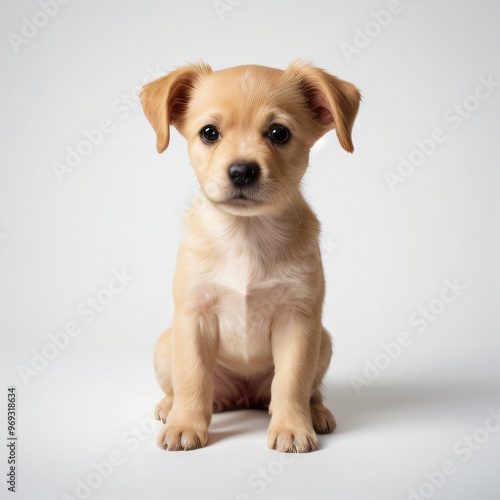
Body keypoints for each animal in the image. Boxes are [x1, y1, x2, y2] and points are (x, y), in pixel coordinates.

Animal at [141, 61, 360, 454]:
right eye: (209, 133)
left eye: (278, 133)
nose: (242, 170)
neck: (246, 234)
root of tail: (242, 396)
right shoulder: (193, 316)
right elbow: (192, 379)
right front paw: (186, 424)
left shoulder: (297, 320)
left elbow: (291, 382)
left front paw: (291, 427)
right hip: (166, 344)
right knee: (184, 387)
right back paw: (170, 407)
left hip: (323, 342)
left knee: (307, 390)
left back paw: (315, 412)